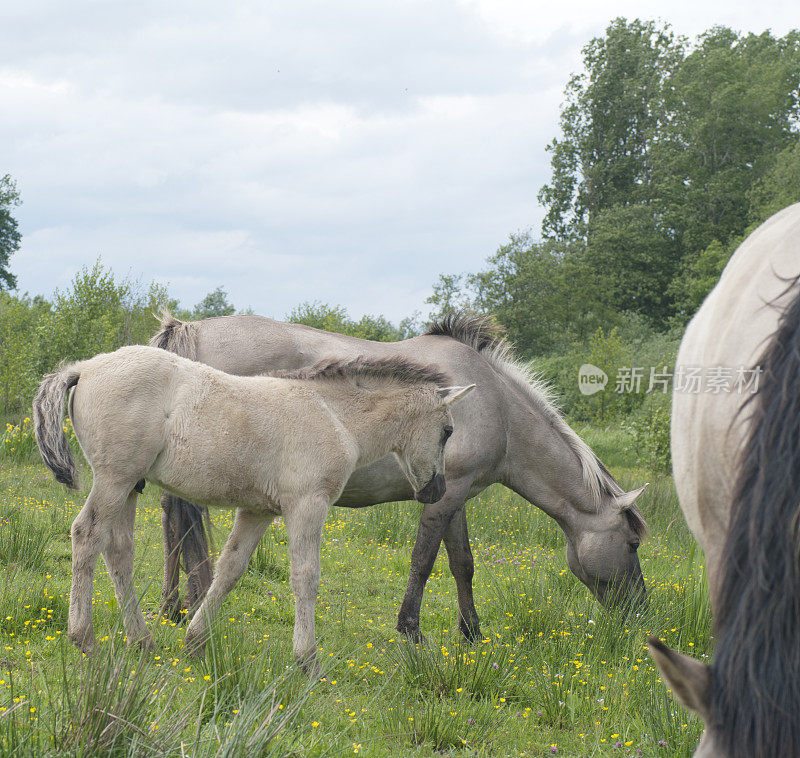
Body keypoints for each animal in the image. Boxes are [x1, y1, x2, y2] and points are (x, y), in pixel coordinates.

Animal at [152, 314, 648, 640]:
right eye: (632, 543)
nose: (642, 611)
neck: (497, 405)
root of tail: (188, 331)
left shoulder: (456, 494)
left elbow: (462, 563)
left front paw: (471, 632)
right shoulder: (444, 494)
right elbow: (423, 560)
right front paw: (410, 630)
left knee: (172, 526)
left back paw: (171, 608)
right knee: (184, 529)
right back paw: (190, 604)